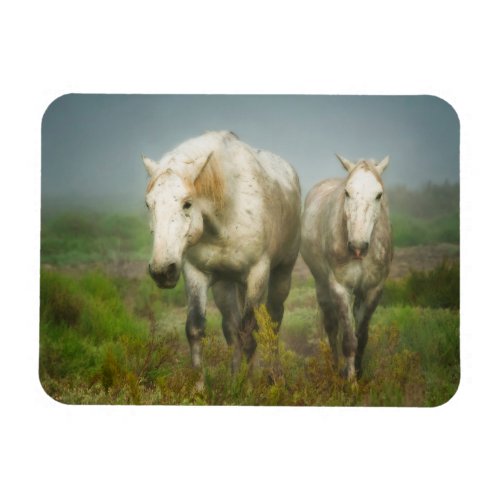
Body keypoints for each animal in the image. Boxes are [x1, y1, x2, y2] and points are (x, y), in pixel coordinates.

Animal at [143, 131, 302, 374]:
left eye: (187, 204)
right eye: (148, 204)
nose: (162, 270)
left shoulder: (257, 275)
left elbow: (249, 335)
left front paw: (246, 383)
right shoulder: (195, 274)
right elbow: (196, 330)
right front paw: (203, 384)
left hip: (282, 274)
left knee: (273, 323)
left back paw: (274, 376)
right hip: (225, 286)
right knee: (231, 329)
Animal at [298, 154, 392, 380]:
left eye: (379, 195)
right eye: (347, 192)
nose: (358, 247)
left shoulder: (373, 290)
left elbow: (362, 337)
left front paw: (359, 373)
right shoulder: (340, 288)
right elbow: (349, 341)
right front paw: (350, 381)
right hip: (322, 286)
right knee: (331, 327)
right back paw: (334, 368)